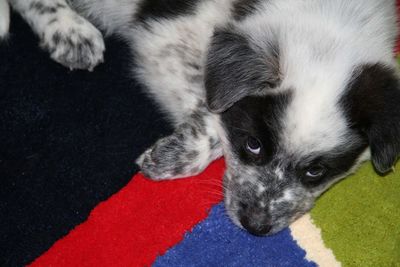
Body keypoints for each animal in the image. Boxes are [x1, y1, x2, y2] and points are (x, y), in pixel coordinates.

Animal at [1, 0, 398, 237]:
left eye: (315, 171)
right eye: (252, 145)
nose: (255, 226)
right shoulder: (163, 43)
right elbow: (212, 112)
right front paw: (170, 158)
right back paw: (69, 31)